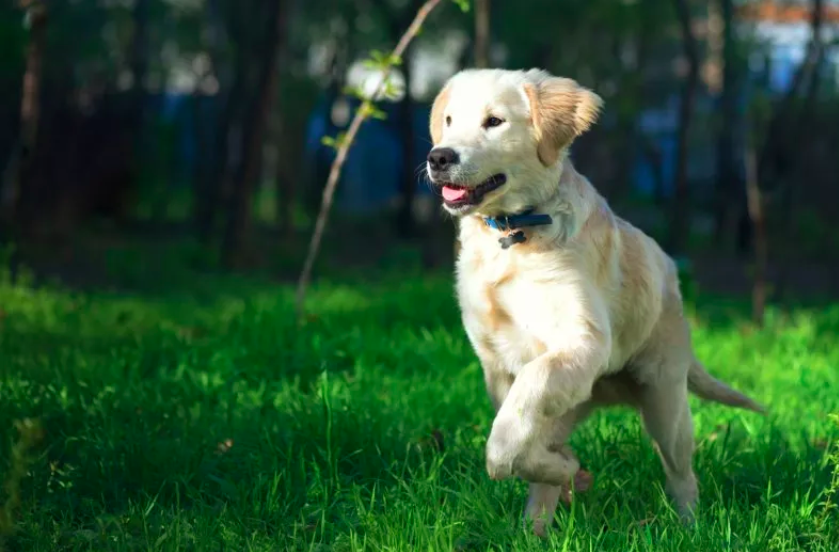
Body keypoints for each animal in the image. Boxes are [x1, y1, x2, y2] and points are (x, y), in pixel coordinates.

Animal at [426, 68, 768, 536]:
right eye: (448, 120)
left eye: (494, 122)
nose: (438, 157)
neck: (514, 233)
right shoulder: (495, 364)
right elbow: (520, 437)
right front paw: (565, 470)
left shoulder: (581, 341)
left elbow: (511, 425)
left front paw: (552, 467)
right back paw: (536, 526)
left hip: (665, 400)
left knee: (682, 472)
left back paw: (689, 526)